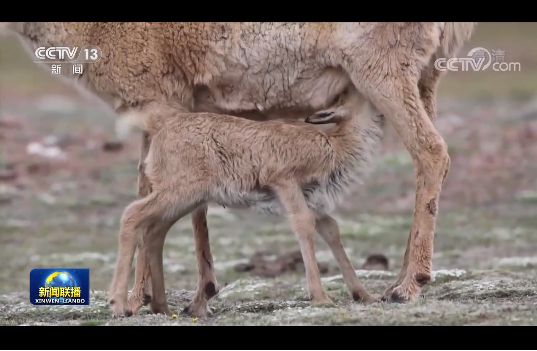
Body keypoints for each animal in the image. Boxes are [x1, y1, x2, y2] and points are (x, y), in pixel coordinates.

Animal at [109, 88, 384, 320]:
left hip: (185, 200)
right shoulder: (285, 182)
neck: (334, 144)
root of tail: (161, 128)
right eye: (355, 94)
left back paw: (163, 307)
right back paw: (120, 305)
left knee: (154, 232)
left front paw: (365, 295)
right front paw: (321, 297)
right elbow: (304, 225)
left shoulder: (313, 199)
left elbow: (331, 230)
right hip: (178, 192)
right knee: (132, 215)